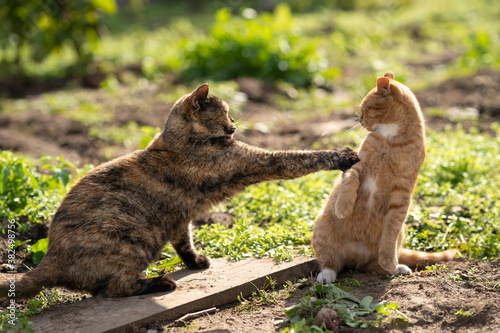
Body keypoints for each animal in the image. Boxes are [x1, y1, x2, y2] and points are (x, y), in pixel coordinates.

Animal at [0, 83, 360, 298]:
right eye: (225, 112)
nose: (234, 125)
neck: (178, 140)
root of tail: (51, 258)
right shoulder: (258, 161)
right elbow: (301, 158)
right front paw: (343, 155)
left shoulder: (179, 217)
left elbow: (184, 239)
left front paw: (196, 261)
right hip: (133, 240)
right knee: (115, 288)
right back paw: (160, 283)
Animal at [314, 73, 458, 282]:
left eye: (365, 108)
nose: (360, 119)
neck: (391, 139)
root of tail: (356, 258)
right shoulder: (357, 165)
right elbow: (349, 182)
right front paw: (343, 208)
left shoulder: (401, 193)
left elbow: (390, 233)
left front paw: (389, 261)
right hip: (322, 229)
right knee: (331, 263)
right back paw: (327, 275)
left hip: (400, 234)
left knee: (373, 265)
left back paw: (397, 268)